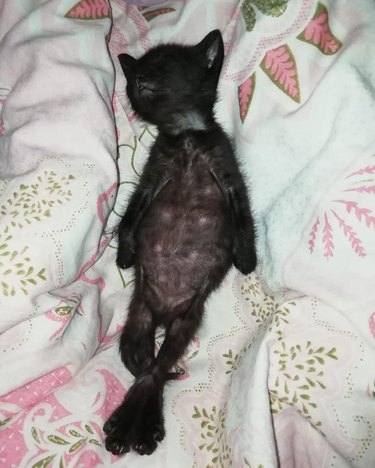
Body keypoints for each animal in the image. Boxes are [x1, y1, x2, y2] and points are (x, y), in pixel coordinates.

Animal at [104, 30, 258, 458]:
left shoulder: (226, 171)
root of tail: (162, 310)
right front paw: (125, 255)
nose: (138, 79)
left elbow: (244, 218)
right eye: (133, 75)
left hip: (188, 318)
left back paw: (137, 425)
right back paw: (134, 423)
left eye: (163, 64)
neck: (185, 134)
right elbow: (129, 217)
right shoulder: (152, 176)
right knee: (144, 364)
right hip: (139, 315)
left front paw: (247, 260)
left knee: (156, 367)